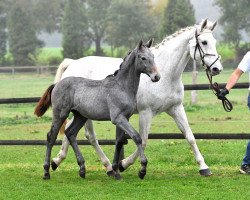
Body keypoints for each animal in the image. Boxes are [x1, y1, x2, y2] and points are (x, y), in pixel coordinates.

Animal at [34, 39, 160, 180]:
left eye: (153, 56)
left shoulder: (124, 118)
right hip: (60, 114)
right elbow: (136, 137)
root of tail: (57, 84)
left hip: (80, 116)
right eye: (143, 58)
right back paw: (46, 171)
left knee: (70, 134)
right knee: (51, 136)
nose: (157, 77)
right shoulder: (118, 118)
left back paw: (82, 169)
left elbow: (119, 142)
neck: (121, 86)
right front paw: (142, 169)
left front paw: (116, 171)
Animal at [51, 19, 222, 176]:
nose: (216, 68)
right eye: (204, 42)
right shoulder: (146, 112)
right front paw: (124, 164)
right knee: (89, 136)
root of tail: (72, 64)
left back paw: (57, 161)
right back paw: (106, 166)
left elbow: (190, 136)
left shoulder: (176, 108)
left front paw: (204, 167)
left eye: (214, 41)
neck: (166, 75)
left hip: (81, 113)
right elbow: (143, 139)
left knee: (69, 131)